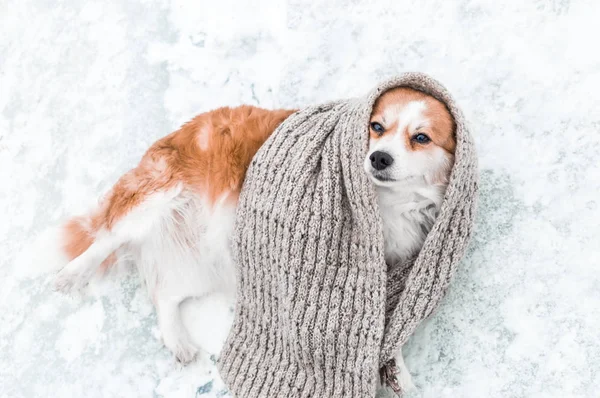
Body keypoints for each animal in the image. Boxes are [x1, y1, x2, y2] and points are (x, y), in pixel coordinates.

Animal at [51, 88, 454, 390]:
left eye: (421, 137)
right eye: (376, 126)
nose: (379, 158)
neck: (388, 203)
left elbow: (382, 321)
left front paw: (398, 372)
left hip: (208, 259)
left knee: (165, 295)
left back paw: (178, 340)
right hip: (159, 196)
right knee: (109, 237)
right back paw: (72, 275)